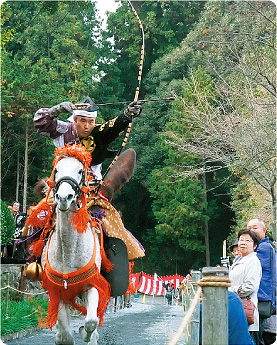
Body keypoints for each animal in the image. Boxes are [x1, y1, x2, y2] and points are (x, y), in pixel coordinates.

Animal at [40, 157, 101, 344]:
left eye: (81, 170)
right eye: (57, 169)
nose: (63, 197)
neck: (69, 253)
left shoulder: (92, 285)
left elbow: (91, 321)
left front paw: (85, 333)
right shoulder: (57, 292)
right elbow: (66, 336)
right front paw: (63, 335)